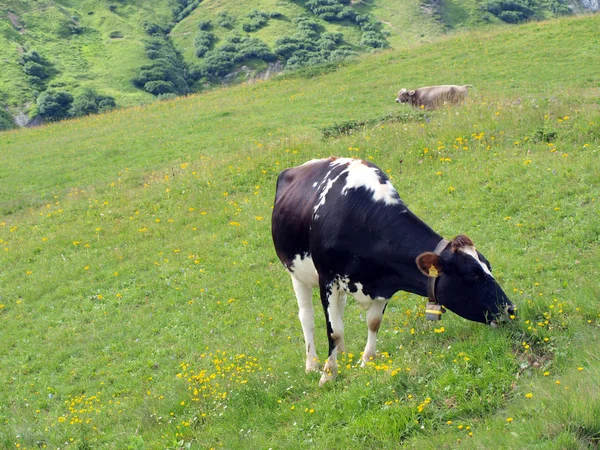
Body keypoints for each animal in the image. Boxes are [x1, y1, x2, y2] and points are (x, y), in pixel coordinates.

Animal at [272, 156, 516, 384]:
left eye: (488, 266)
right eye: (473, 275)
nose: (511, 309)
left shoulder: (386, 282)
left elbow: (372, 322)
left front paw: (366, 361)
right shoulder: (327, 279)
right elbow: (334, 330)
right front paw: (328, 374)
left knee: (339, 311)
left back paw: (343, 353)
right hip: (296, 272)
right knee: (307, 317)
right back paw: (312, 364)